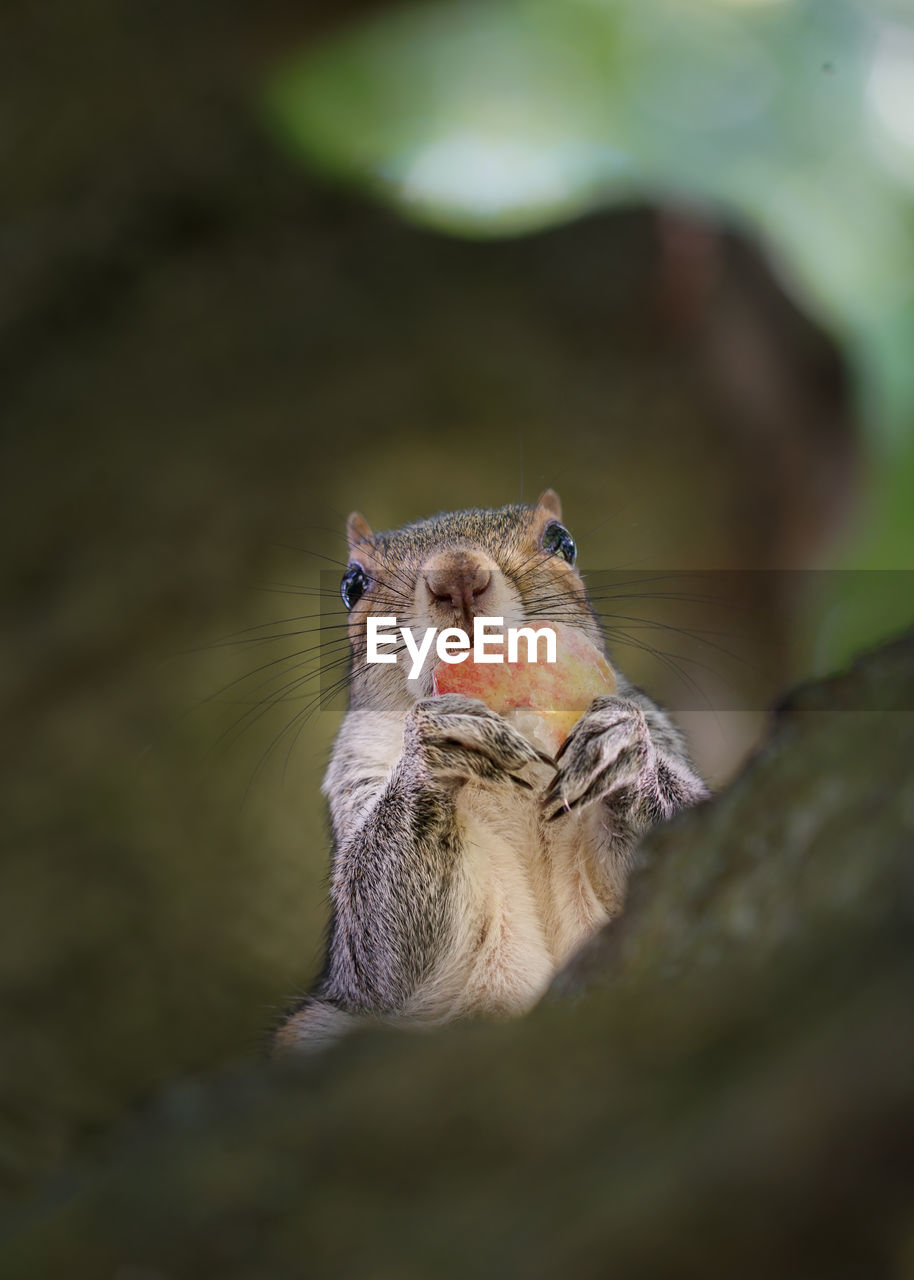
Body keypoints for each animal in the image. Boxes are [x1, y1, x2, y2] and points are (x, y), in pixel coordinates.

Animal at [273, 488, 706, 1049]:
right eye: (352, 584)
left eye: (561, 542)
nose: (457, 575)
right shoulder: (355, 770)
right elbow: (381, 952)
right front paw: (435, 744)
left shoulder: (655, 722)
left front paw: (624, 750)